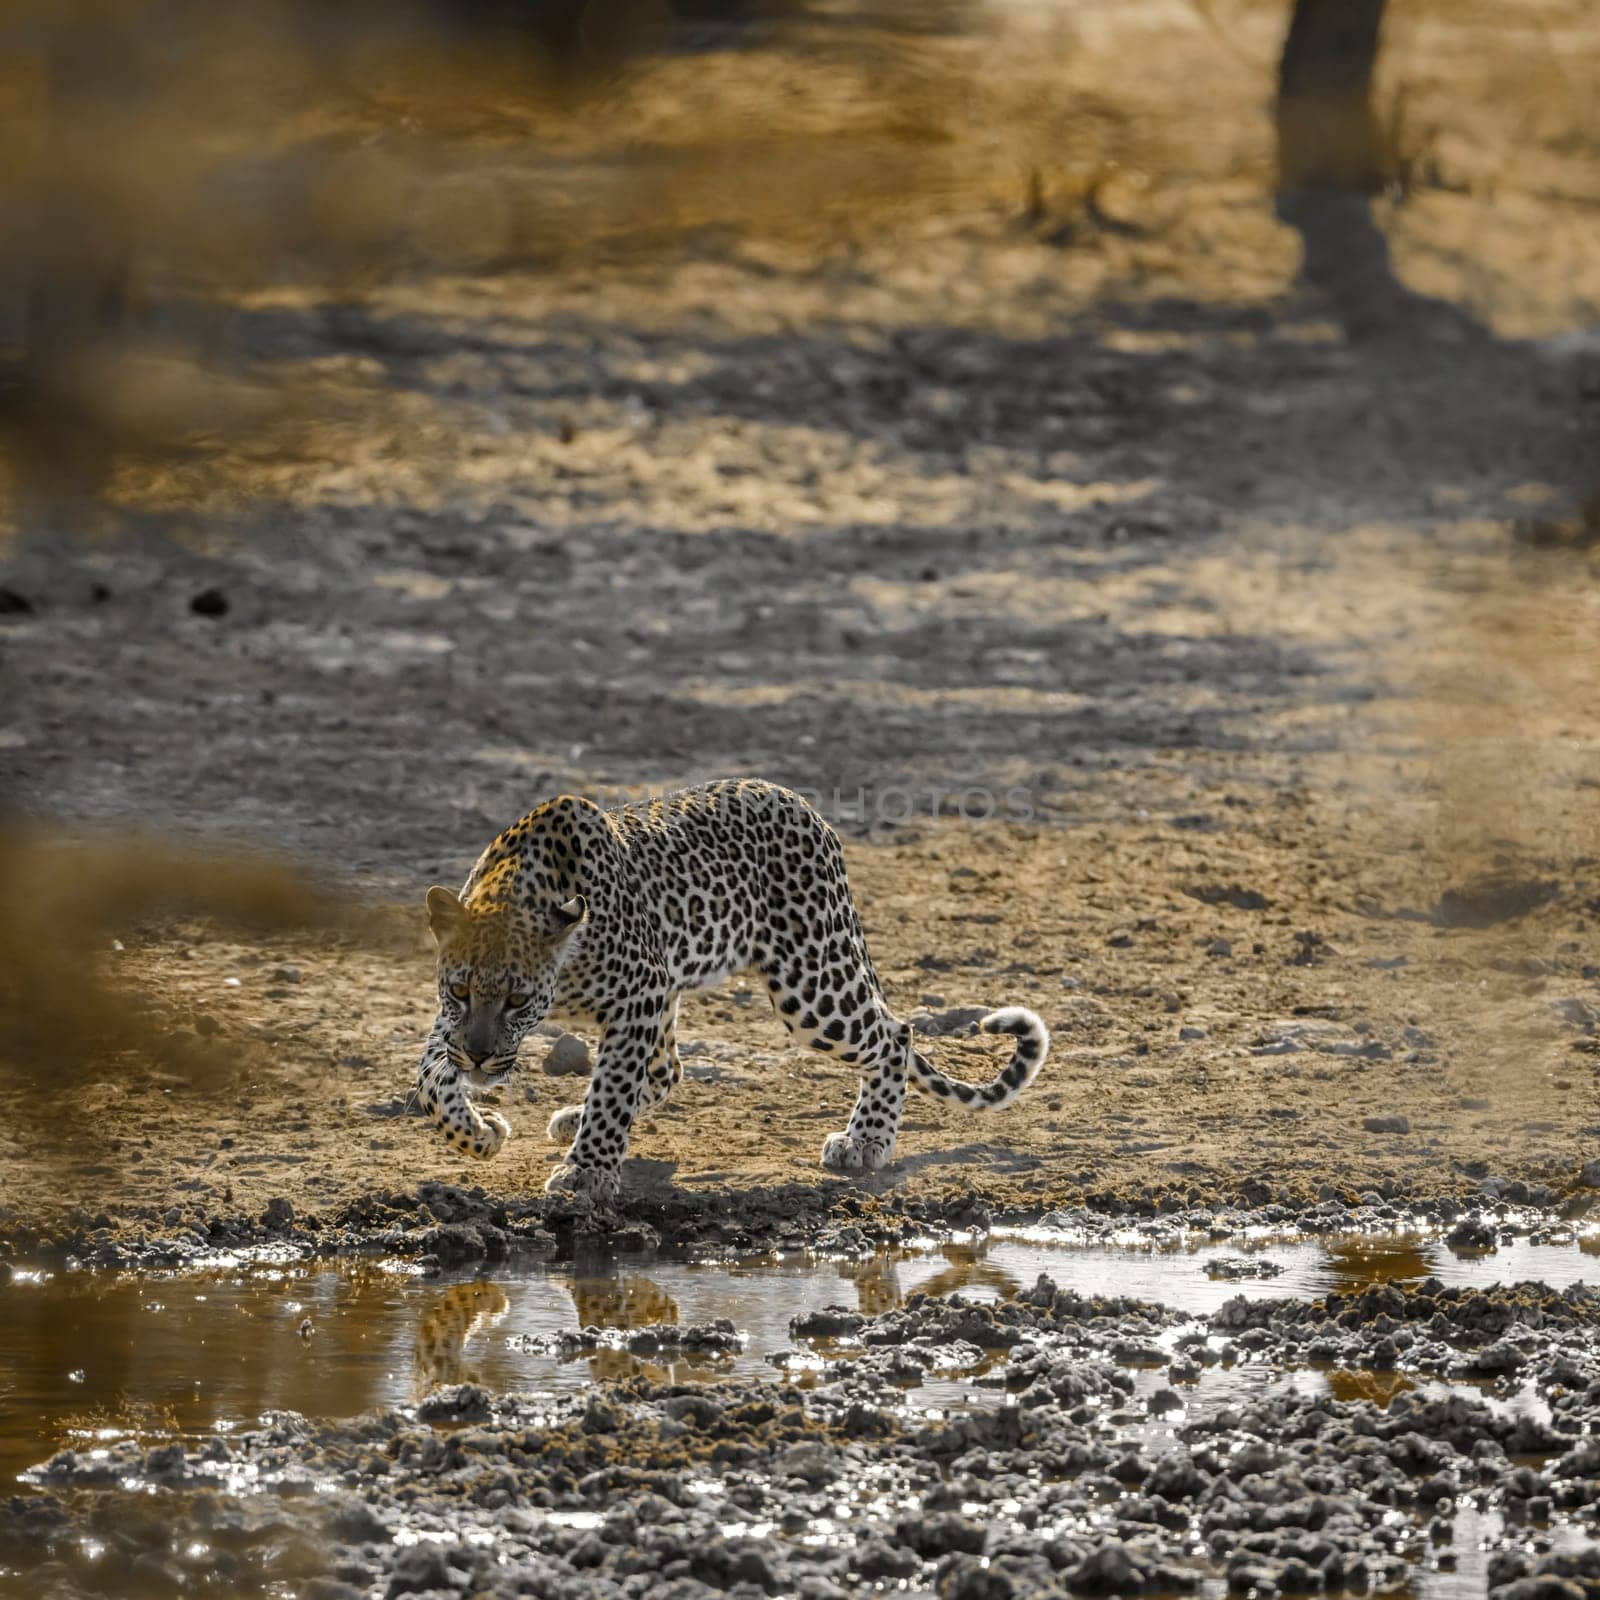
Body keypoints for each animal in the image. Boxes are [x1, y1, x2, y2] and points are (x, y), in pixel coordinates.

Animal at [416, 774, 1049, 1203]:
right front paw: (479, 1133)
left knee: (894, 1035)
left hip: (812, 983)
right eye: (460, 991)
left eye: (518, 1001)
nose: (479, 1058)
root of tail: (805, 806)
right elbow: (428, 1078)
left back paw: (865, 1141)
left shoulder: (640, 990)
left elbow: (614, 1087)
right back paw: (573, 1116)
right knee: (669, 1068)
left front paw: (587, 1171)